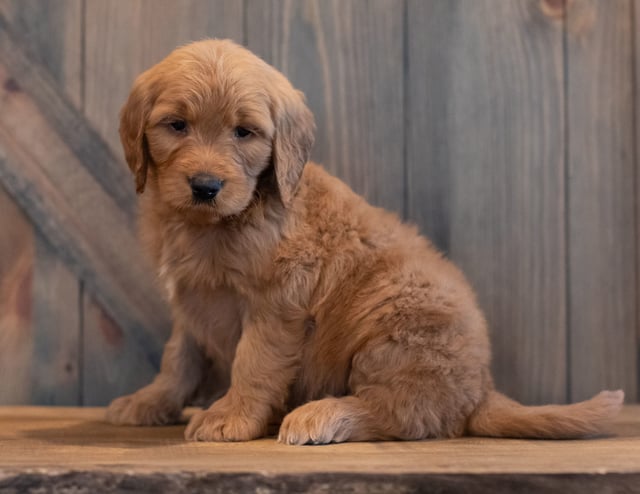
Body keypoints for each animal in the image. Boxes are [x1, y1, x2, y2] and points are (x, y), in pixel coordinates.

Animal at [107, 40, 624, 446]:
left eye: (244, 132)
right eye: (177, 125)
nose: (206, 186)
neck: (218, 221)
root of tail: (481, 389)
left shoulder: (276, 305)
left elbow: (253, 361)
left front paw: (230, 417)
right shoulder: (191, 302)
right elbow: (179, 359)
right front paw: (149, 401)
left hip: (393, 326)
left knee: (399, 414)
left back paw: (321, 414)